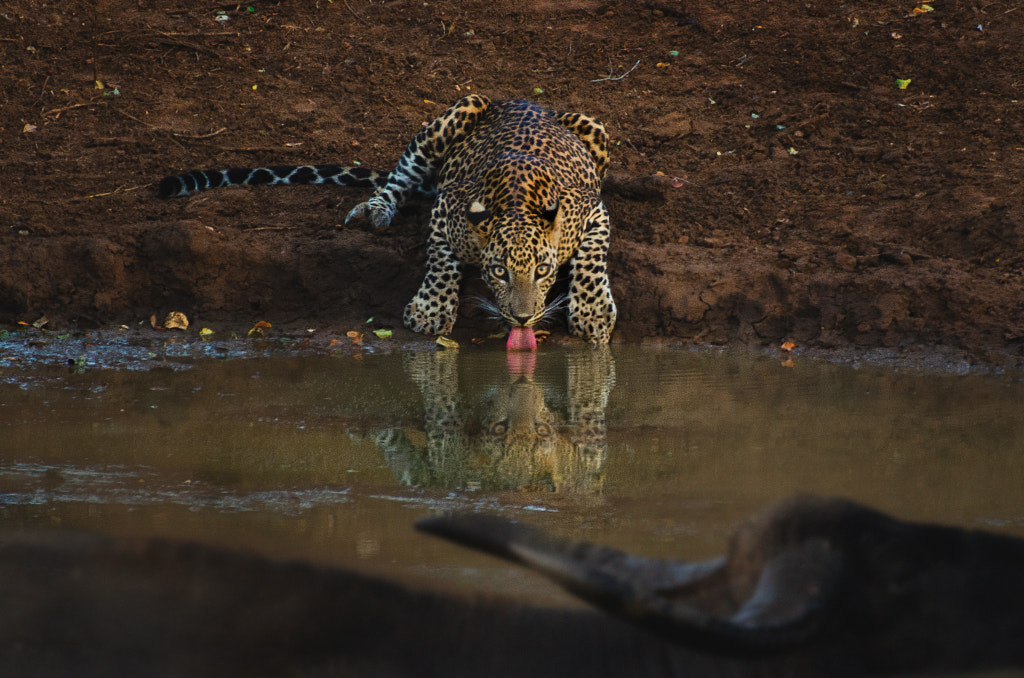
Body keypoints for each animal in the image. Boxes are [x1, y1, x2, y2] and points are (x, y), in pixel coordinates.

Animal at [161, 95, 614, 346]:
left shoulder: (594, 212)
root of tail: (525, 102)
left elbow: (592, 261)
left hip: (595, 126)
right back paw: (375, 209)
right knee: (400, 178)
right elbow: (440, 260)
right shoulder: (446, 209)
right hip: (455, 115)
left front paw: (592, 314)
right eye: (499, 272)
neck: (518, 202)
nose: (522, 319)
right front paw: (430, 310)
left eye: (543, 271)